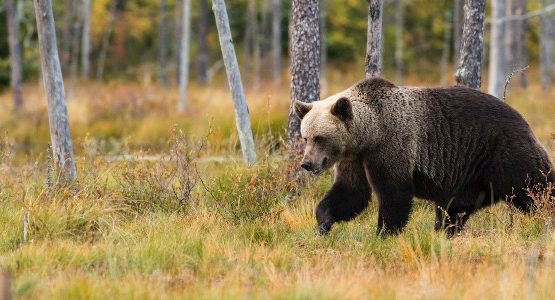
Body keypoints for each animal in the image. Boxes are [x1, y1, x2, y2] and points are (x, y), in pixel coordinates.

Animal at [296, 77, 555, 237]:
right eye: (305, 137)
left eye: (320, 137)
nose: (306, 164)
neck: (369, 134)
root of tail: (523, 119)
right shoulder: (355, 159)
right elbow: (351, 193)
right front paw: (323, 223)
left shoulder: (392, 146)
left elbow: (394, 194)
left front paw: (384, 233)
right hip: (468, 178)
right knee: (453, 210)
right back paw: (445, 233)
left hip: (504, 154)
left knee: (537, 187)